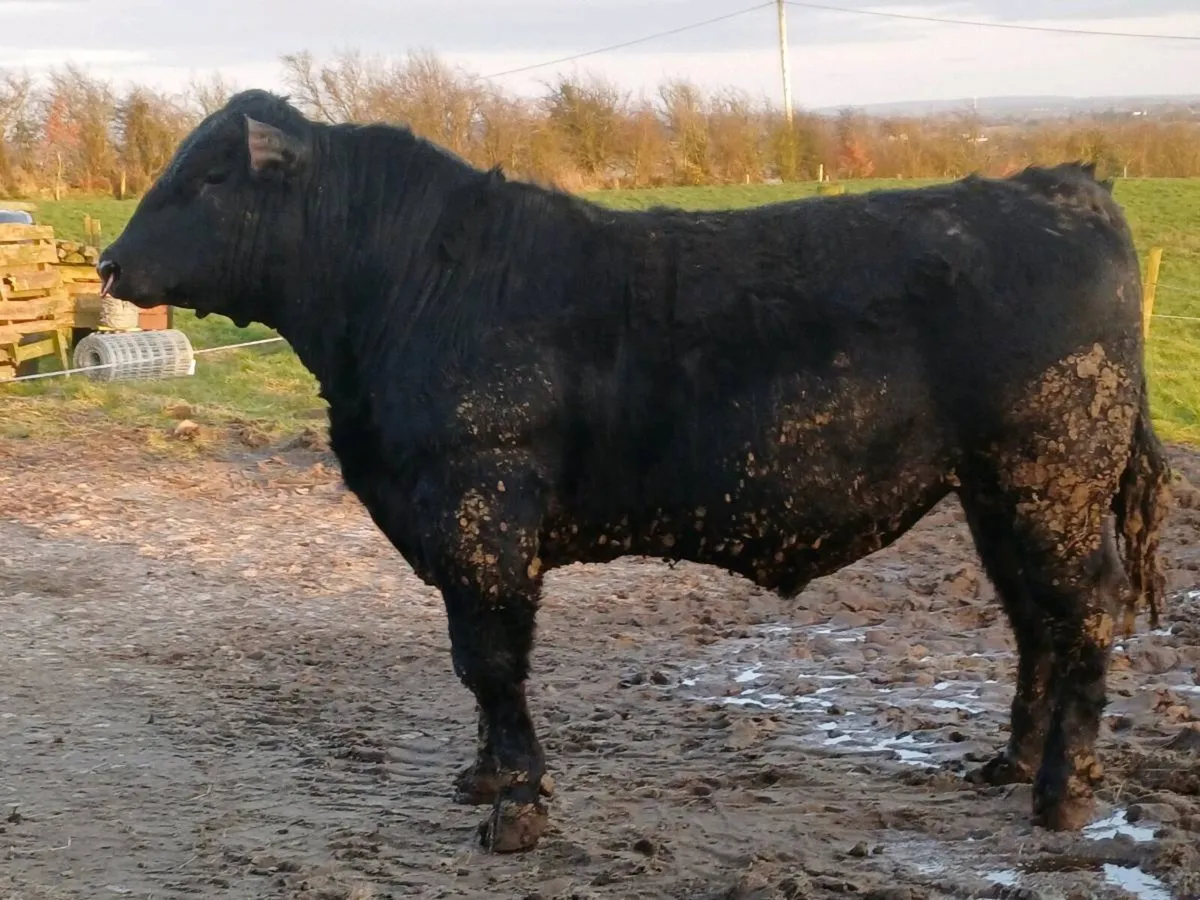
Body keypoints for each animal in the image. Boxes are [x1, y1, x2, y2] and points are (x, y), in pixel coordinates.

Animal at [97, 89, 1172, 854]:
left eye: (209, 179)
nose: (107, 263)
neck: (402, 287)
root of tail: (1064, 184)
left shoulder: (482, 508)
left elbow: (490, 661)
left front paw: (516, 811)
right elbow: (472, 665)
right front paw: (483, 778)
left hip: (1050, 478)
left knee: (1084, 612)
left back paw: (1061, 795)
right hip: (996, 491)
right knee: (1034, 619)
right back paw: (1011, 763)